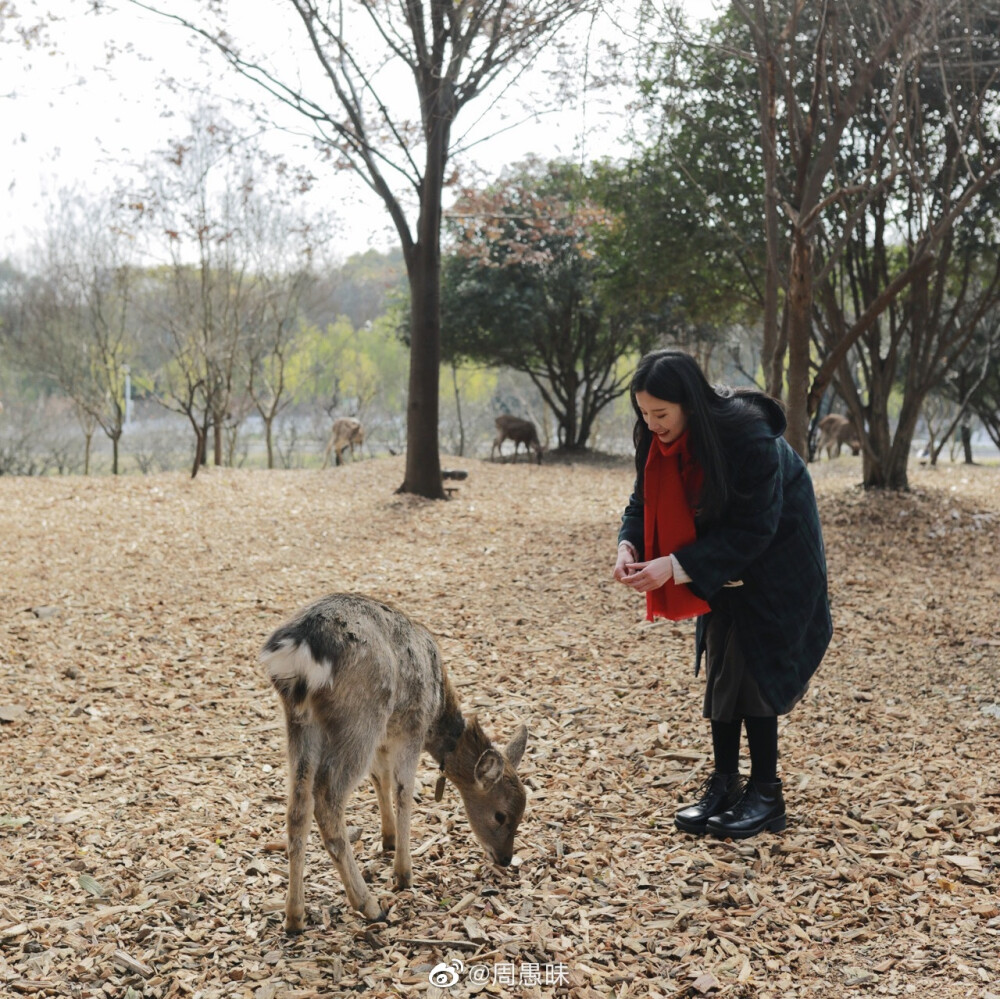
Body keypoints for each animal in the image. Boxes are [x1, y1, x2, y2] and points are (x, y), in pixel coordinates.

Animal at [260, 592, 532, 928]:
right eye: (501, 815)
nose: (505, 858)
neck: (437, 712)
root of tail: (301, 648)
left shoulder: (386, 737)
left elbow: (381, 779)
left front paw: (388, 839)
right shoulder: (412, 729)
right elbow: (405, 792)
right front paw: (403, 874)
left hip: (300, 722)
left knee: (297, 808)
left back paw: (294, 917)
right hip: (360, 717)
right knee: (327, 798)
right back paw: (369, 905)